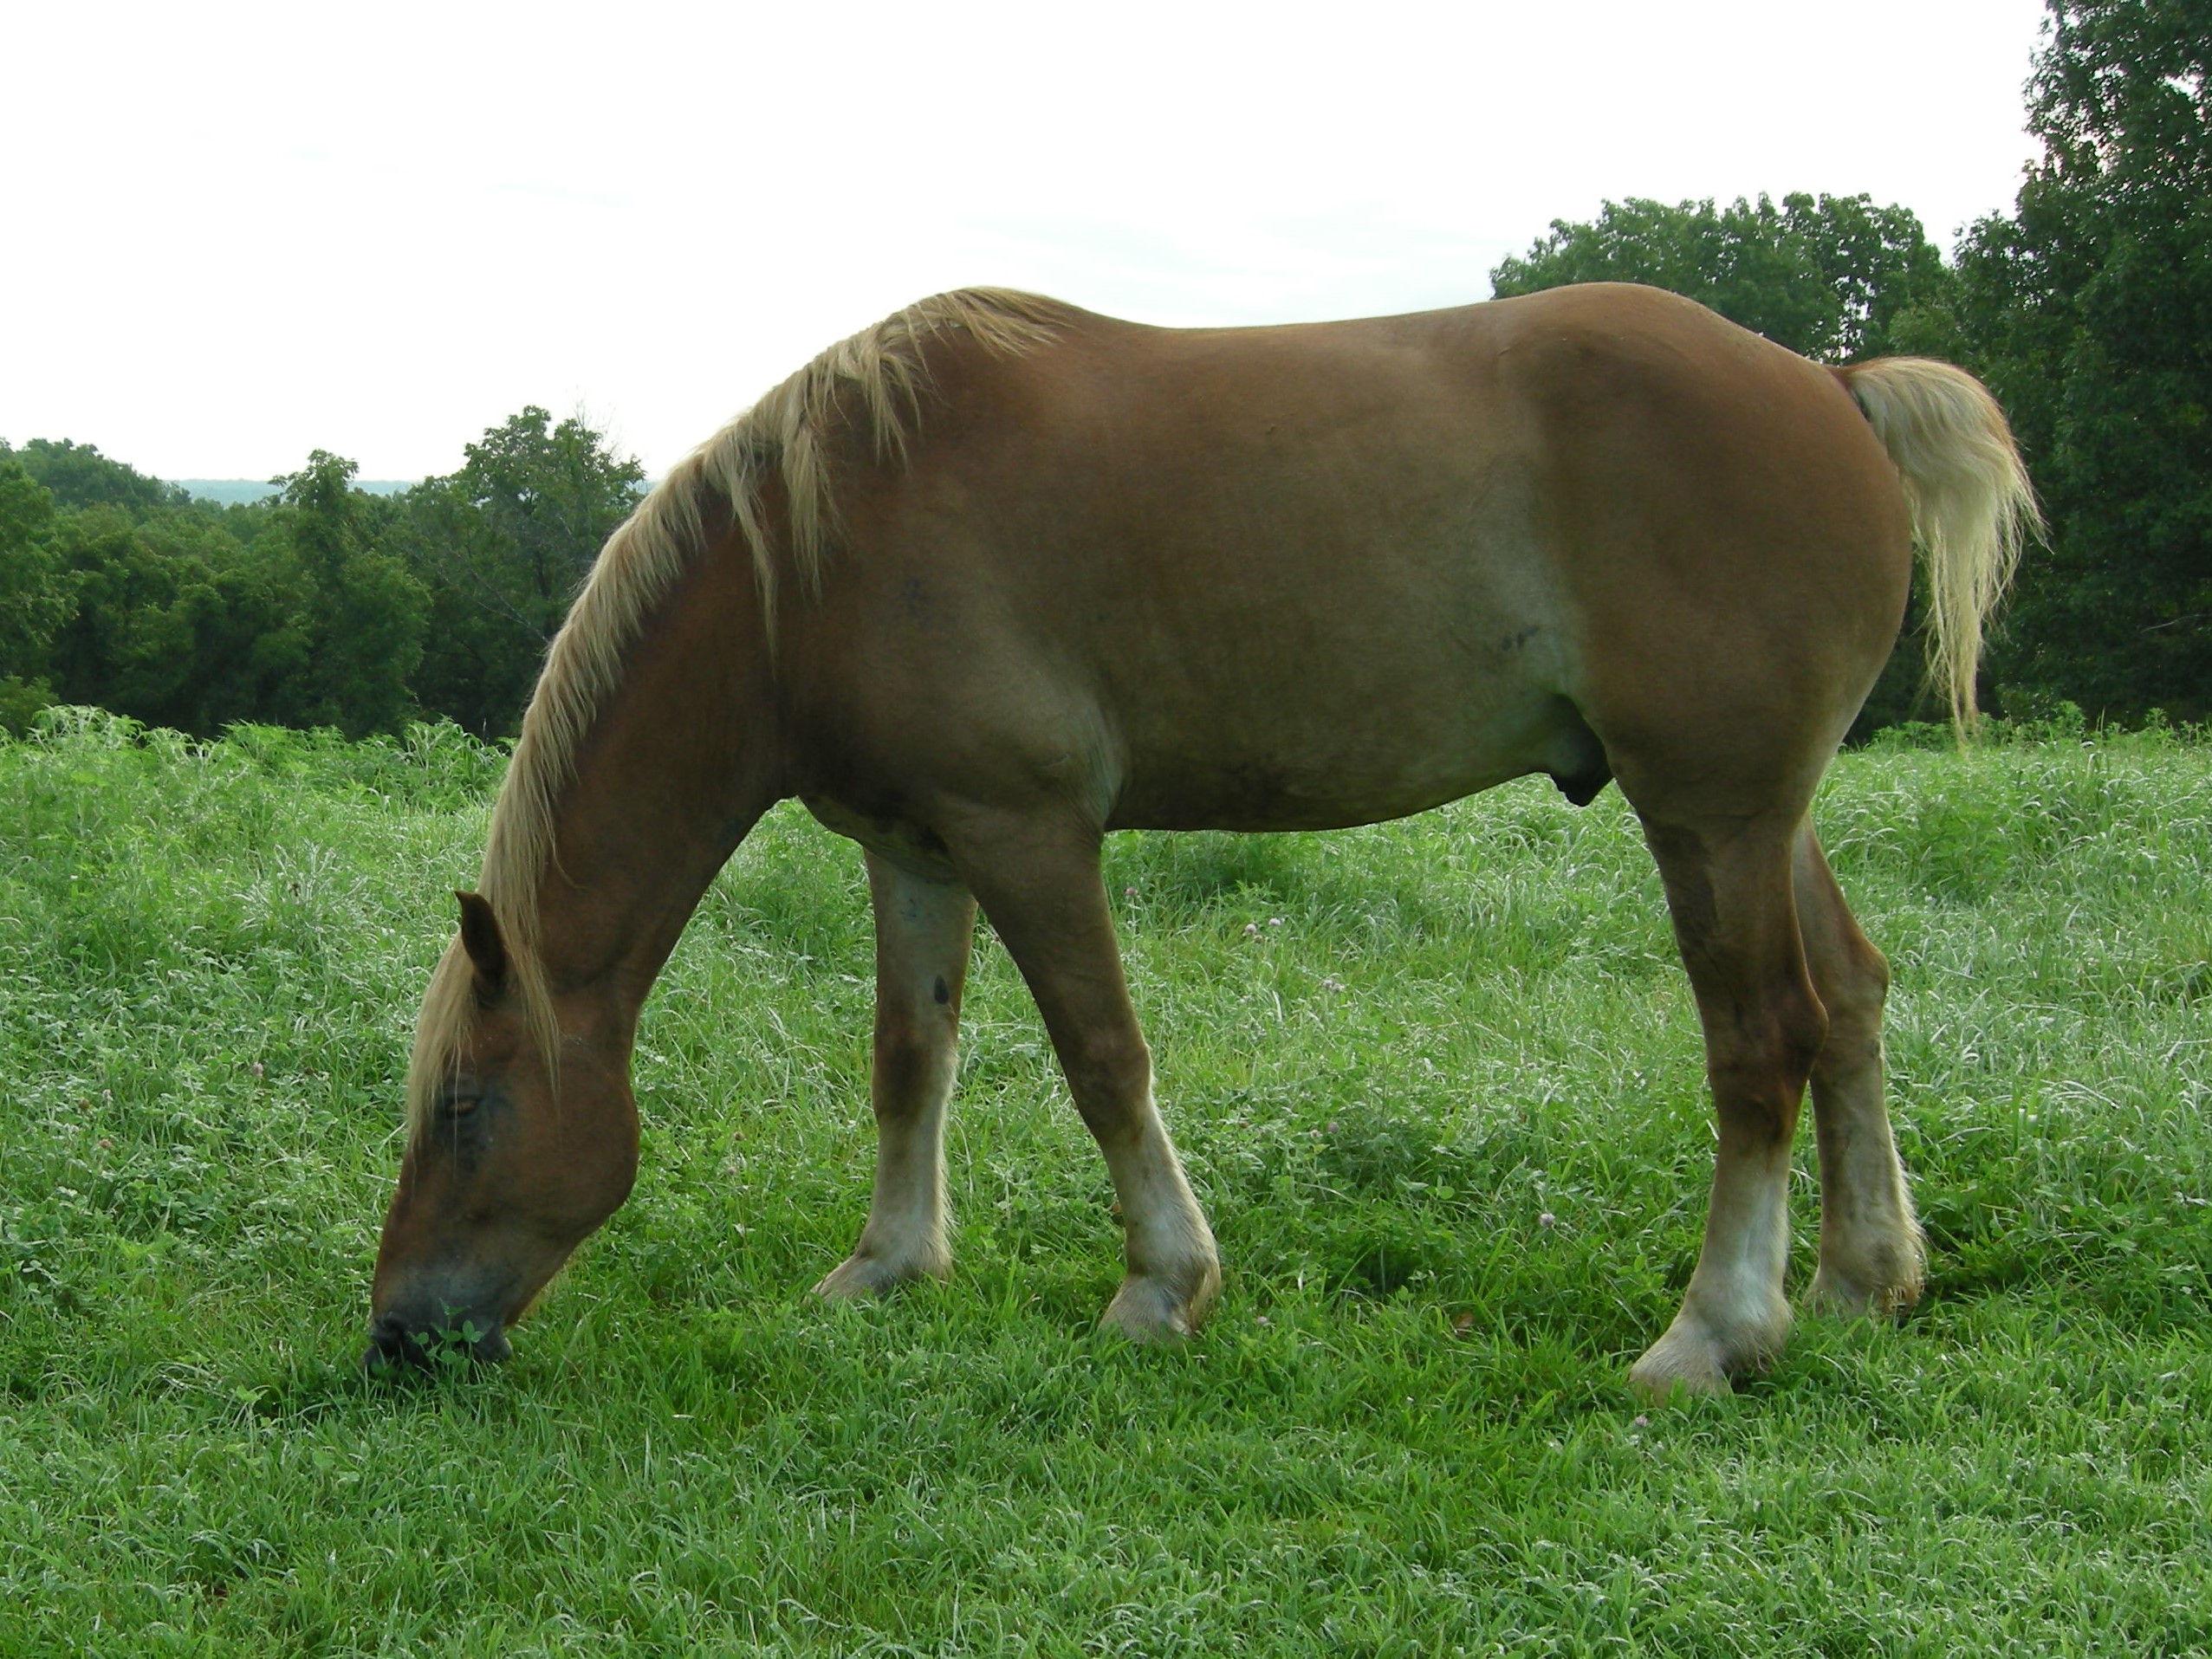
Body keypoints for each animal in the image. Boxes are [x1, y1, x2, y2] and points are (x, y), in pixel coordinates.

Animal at [366, 283, 2036, 1397]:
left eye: (464, 1108)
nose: (395, 1332)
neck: (820, 547)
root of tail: (1829, 383)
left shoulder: (1027, 830)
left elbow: (1102, 1057)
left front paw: (1161, 1289)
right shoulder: (912, 846)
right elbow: (910, 1058)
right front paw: (888, 1266)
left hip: (1706, 813)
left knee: (1761, 1041)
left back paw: (1713, 1331)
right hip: (1760, 812)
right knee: (1850, 1004)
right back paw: (1862, 1279)